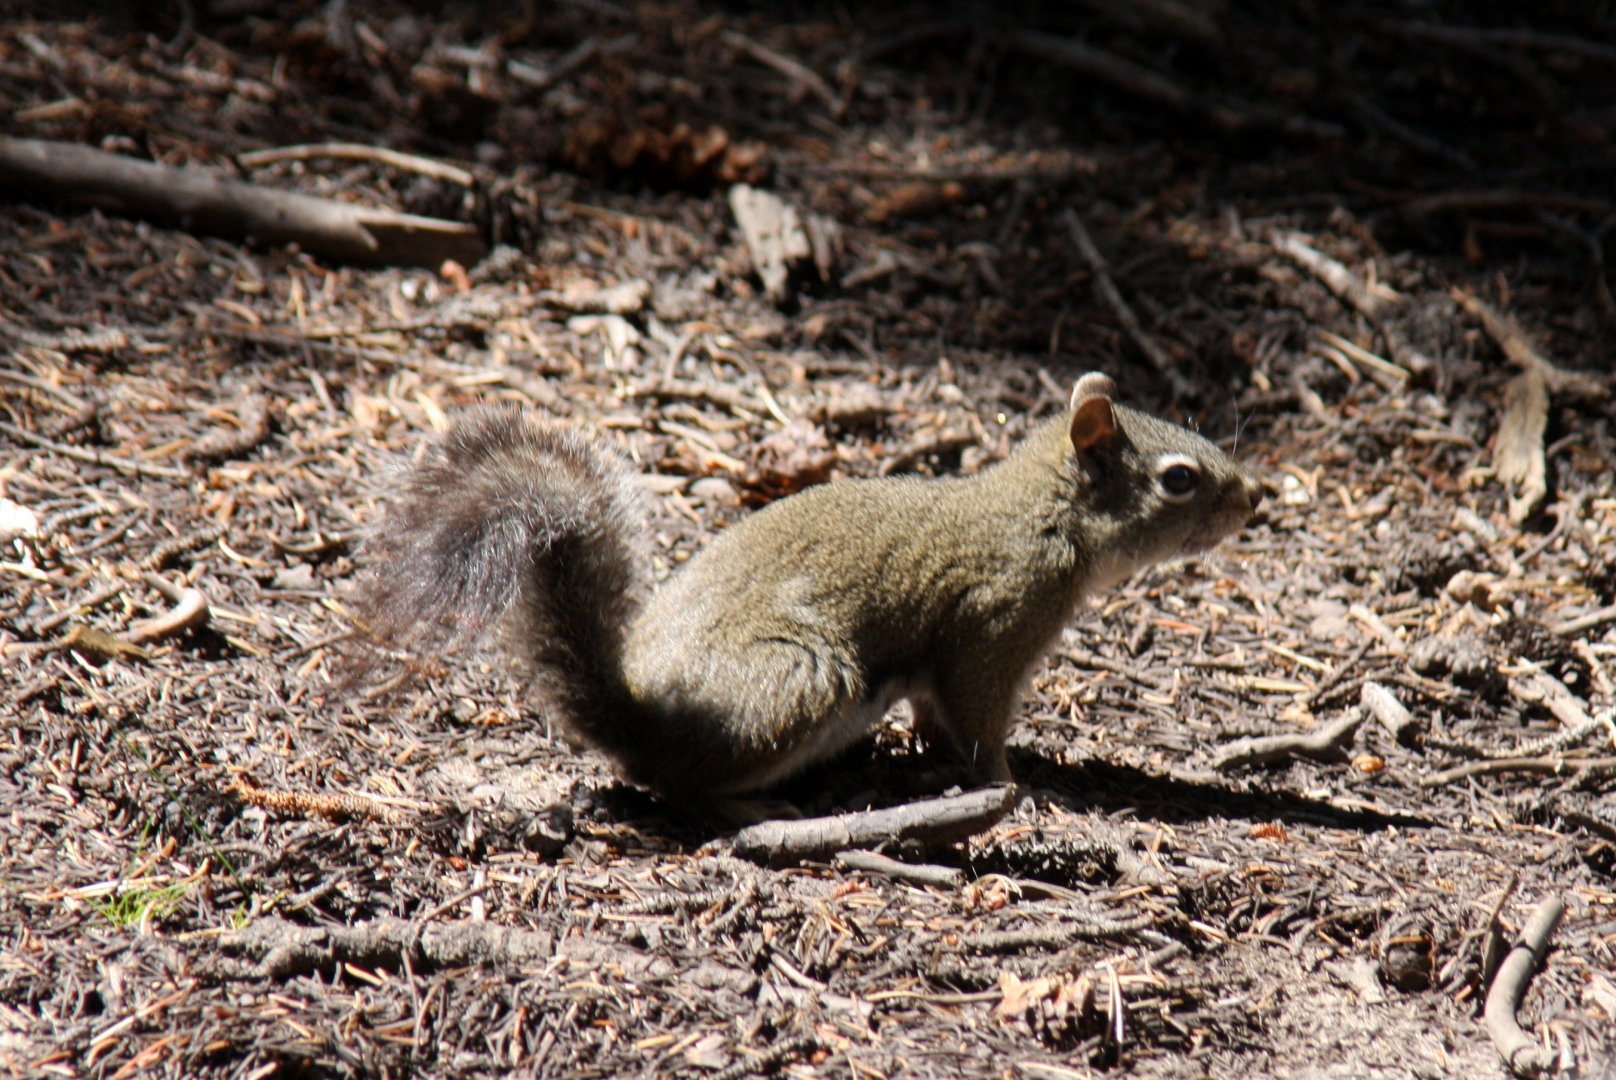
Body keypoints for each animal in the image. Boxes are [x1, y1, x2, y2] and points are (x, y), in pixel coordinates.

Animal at [350, 372, 1263, 802]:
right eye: (1180, 479)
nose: (1255, 499)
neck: (1042, 519)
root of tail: (642, 718)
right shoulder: (991, 631)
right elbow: (977, 725)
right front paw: (1010, 784)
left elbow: (935, 718)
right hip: (806, 674)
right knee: (692, 786)